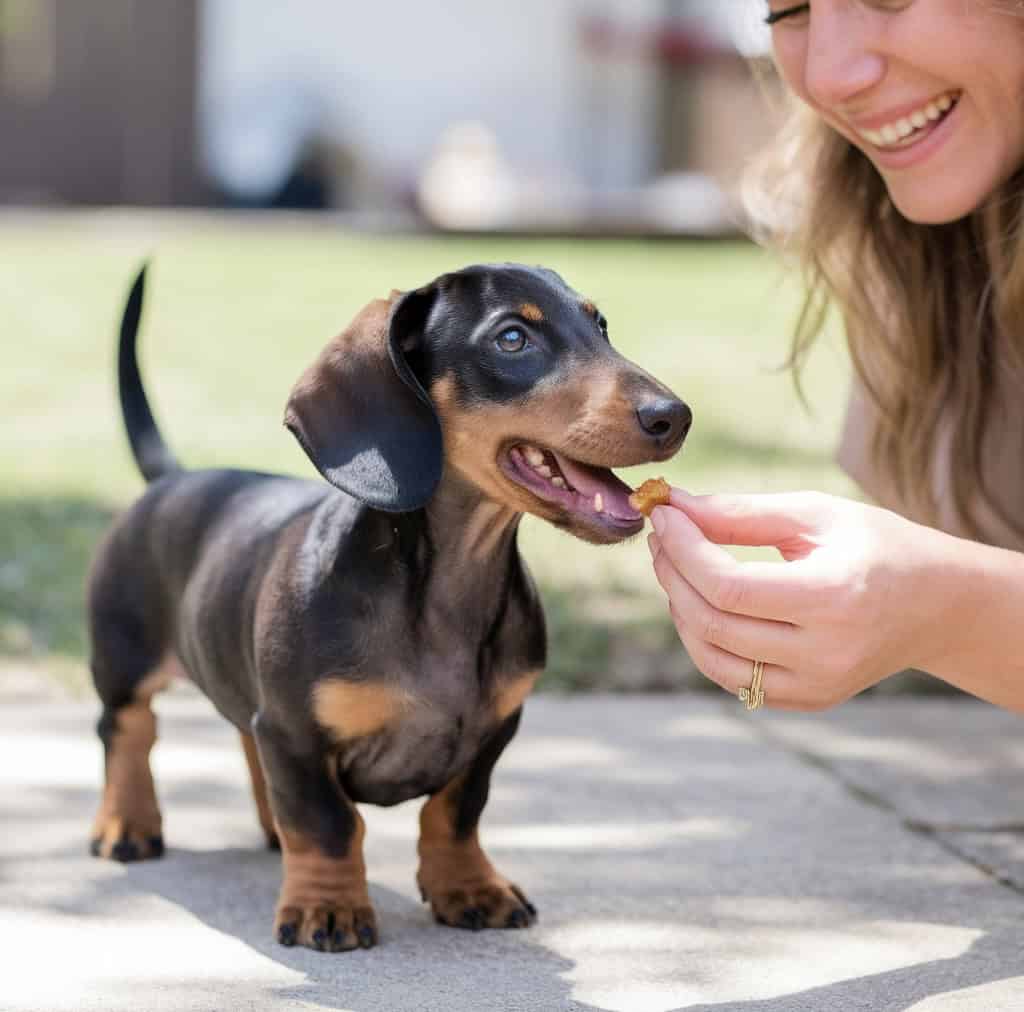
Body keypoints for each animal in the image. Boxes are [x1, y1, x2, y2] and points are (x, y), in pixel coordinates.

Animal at [86, 261, 688, 950]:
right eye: (512, 339)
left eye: (601, 326)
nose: (674, 416)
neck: (450, 586)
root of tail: (173, 478)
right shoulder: (295, 733)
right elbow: (328, 824)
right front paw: (328, 907)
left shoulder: (493, 733)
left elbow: (455, 813)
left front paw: (469, 888)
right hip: (123, 660)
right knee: (129, 730)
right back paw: (127, 824)